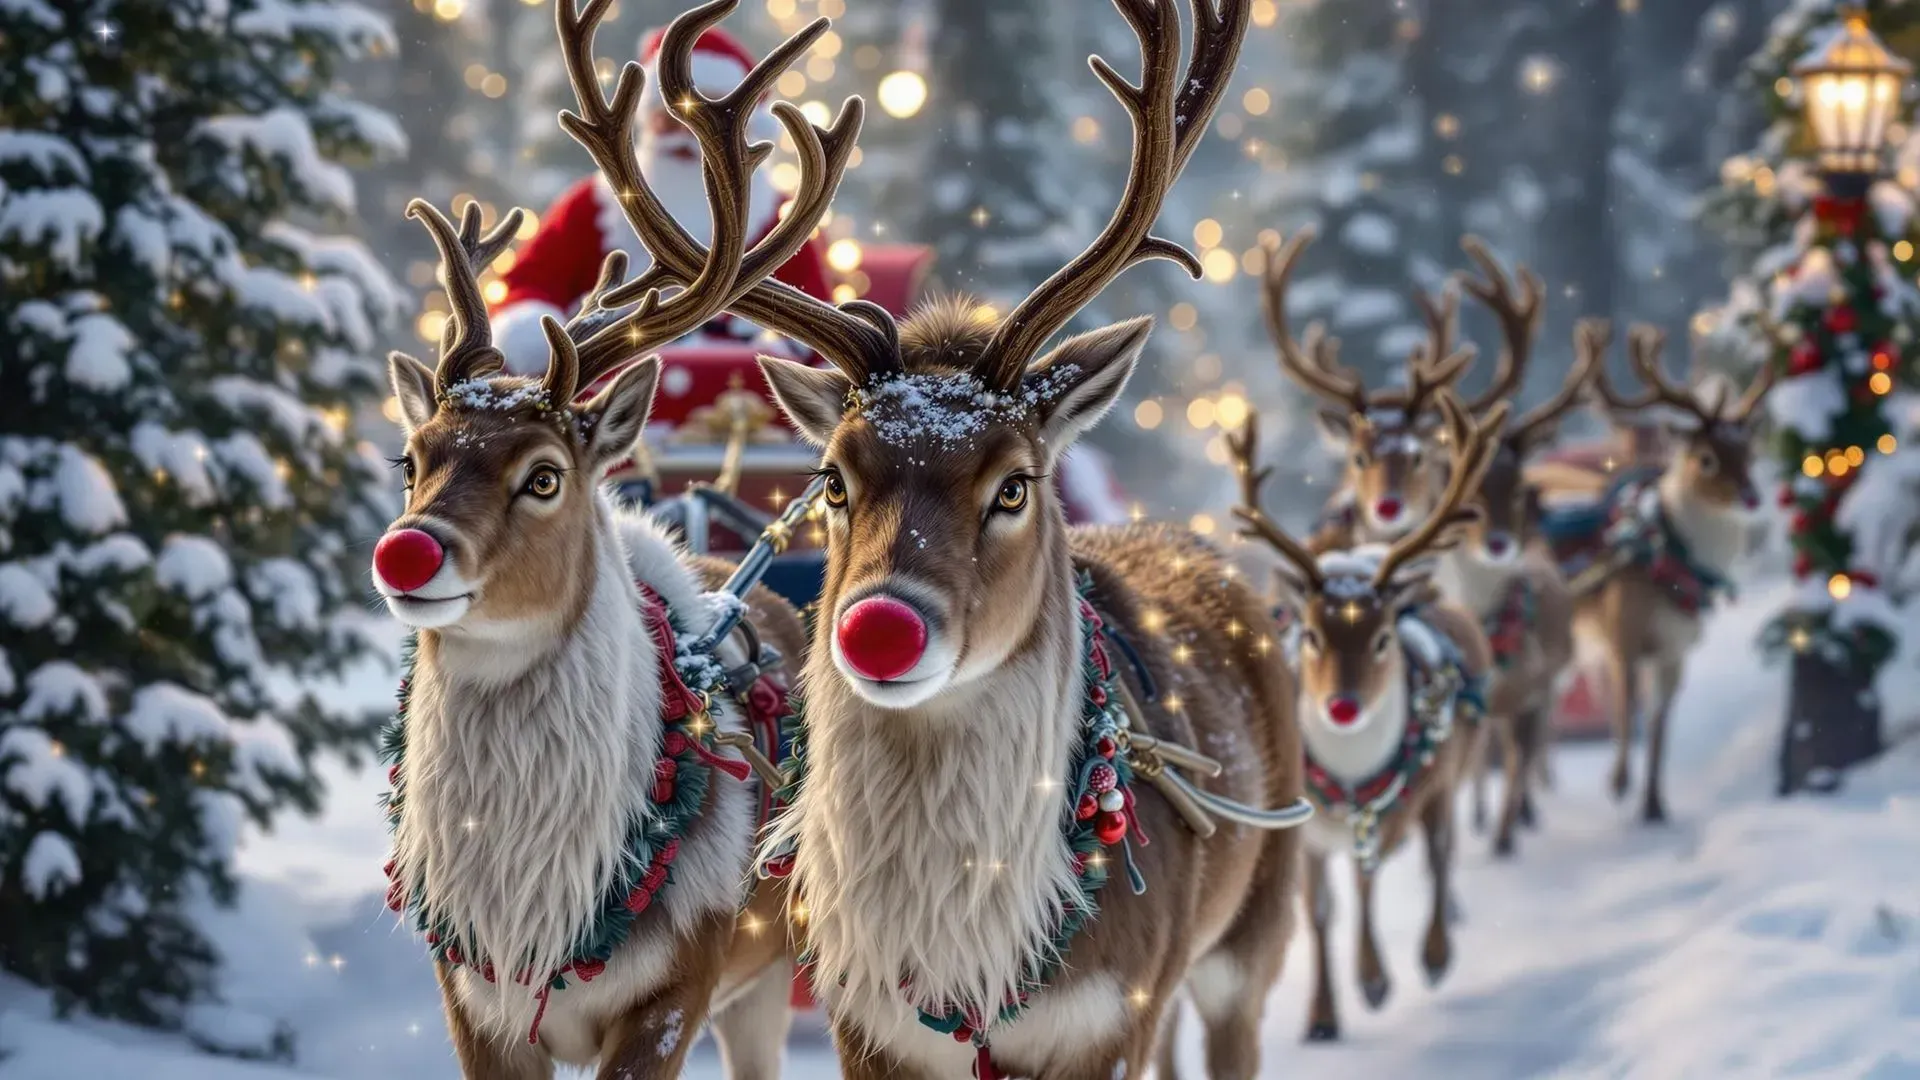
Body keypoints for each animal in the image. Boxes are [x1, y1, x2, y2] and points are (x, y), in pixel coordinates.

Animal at [367, 2, 857, 1075]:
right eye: (411, 459)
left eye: (544, 475)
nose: (406, 552)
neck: (534, 899)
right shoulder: (473, 995)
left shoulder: (678, 979)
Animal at [597, 1, 1302, 1075]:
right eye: (833, 478)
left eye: (1014, 484)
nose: (881, 627)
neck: (970, 954)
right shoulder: (867, 1024)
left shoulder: (1114, 1013)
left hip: (1245, 938)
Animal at [1229, 390, 1504, 1043]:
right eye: (1310, 635)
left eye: (1382, 640)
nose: (1342, 705)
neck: (1350, 780)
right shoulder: (1303, 825)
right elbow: (1320, 911)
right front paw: (1323, 1016)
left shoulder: (1412, 797)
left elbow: (1390, 872)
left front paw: (1388, 975)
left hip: (1453, 769)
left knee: (1440, 852)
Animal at [1538, 325, 1774, 824]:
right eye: (1705, 457)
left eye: (1748, 451)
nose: (1751, 497)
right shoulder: (1622, 632)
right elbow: (1627, 708)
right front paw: (1617, 782)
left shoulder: (1676, 649)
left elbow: (1661, 726)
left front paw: (1654, 804)